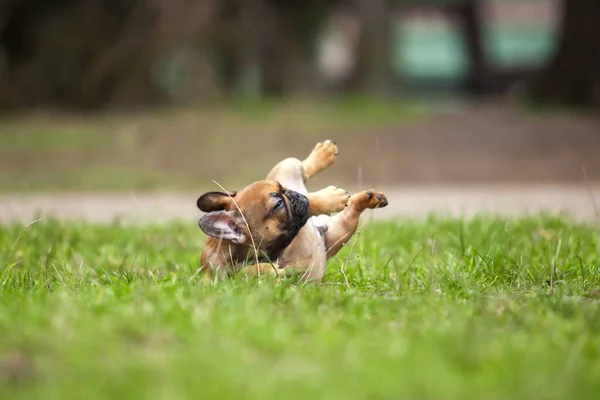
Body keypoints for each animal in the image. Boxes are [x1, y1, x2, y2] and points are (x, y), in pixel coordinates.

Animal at [197, 141, 390, 284]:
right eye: (278, 204)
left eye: (281, 189)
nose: (293, 194)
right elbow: (249, 272)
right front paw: (272, 271)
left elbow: (310, 201)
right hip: (341, 231)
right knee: (349, 210)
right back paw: (369, 198)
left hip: (285, 170)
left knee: (301, 170)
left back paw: (324, 155)